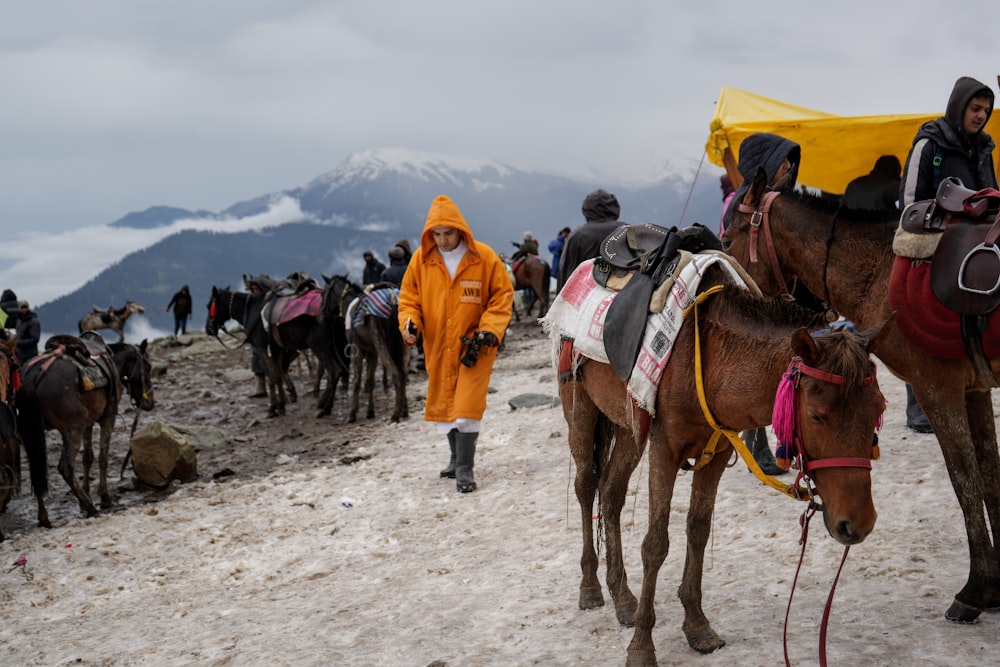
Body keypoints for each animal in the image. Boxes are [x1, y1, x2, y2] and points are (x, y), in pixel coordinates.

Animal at [556, 264, 892, 664]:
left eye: (877, 409)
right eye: (816, 415)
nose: (858, 522)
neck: (714, 359)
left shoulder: (714, 454)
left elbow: (698, 531)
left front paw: (697, 626)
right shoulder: (665, 448)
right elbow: (656, 544)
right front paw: (641, 646)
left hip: (627, 426)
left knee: (611, 493)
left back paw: (622, 597)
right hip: (580, 407)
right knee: (586, 486)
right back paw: (591, 587)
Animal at [724, 166, 1000, 620]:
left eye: (728, 238)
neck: (879, 269)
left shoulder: (936, 387)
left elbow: (966, 481)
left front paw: (976, 589)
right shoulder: (974, 390)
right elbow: (990, 477)